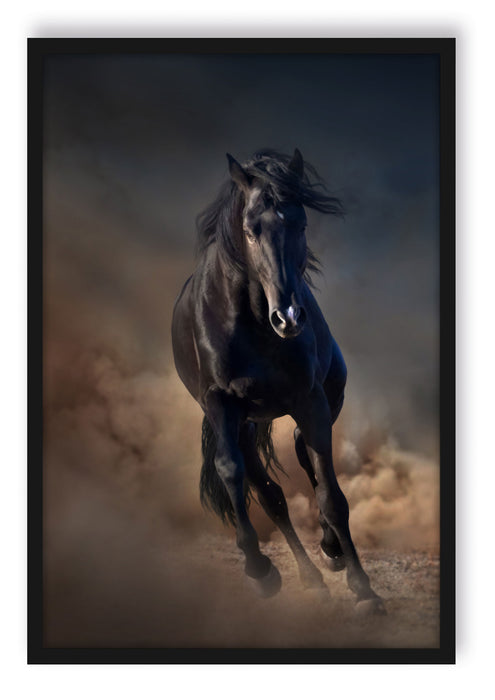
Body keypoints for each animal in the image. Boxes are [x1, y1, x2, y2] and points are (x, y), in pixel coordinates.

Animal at [172, 148, 385, 614]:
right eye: (251, 230)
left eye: (300, 224)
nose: (288, 318)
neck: (251, 321)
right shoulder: (220, 404)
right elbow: (233, 473)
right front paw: (258, 570)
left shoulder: (310, 401)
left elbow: (332, 496)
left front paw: (363, 588)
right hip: (245, 425)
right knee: (270, 495)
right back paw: (309, 579)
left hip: (317, 404)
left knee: (306, 459)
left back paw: (331, 554)